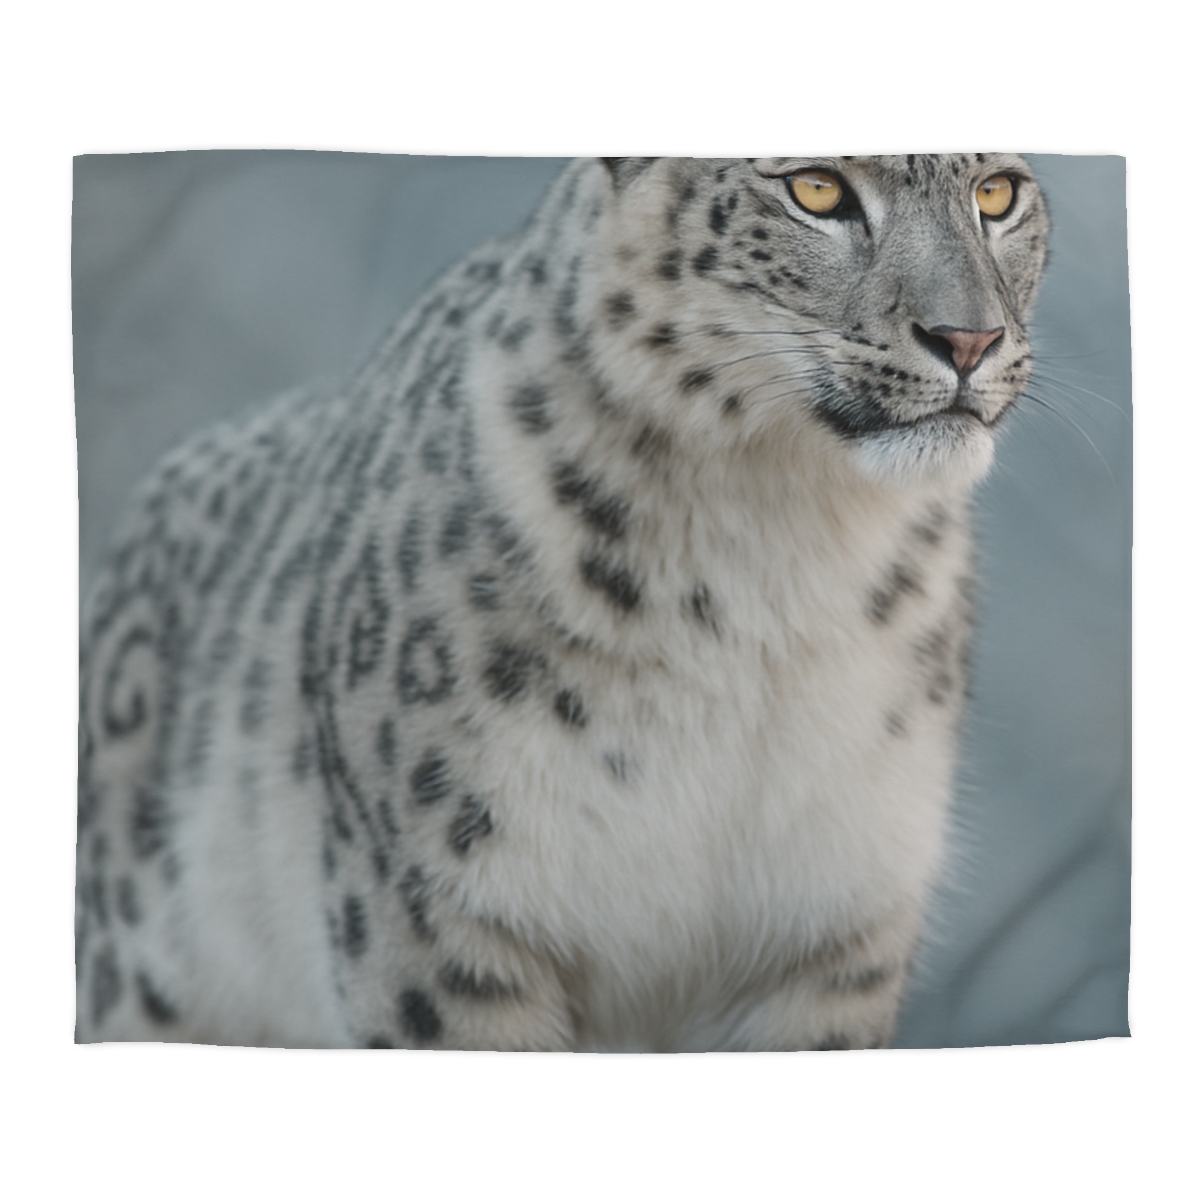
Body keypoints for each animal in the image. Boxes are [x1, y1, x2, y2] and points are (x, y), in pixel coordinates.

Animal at [75, 155, 1049, 1050]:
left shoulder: (836, 928)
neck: (784, 563)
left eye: (997, 191)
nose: (969, 340)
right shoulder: (443, 913)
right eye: (815, 190)